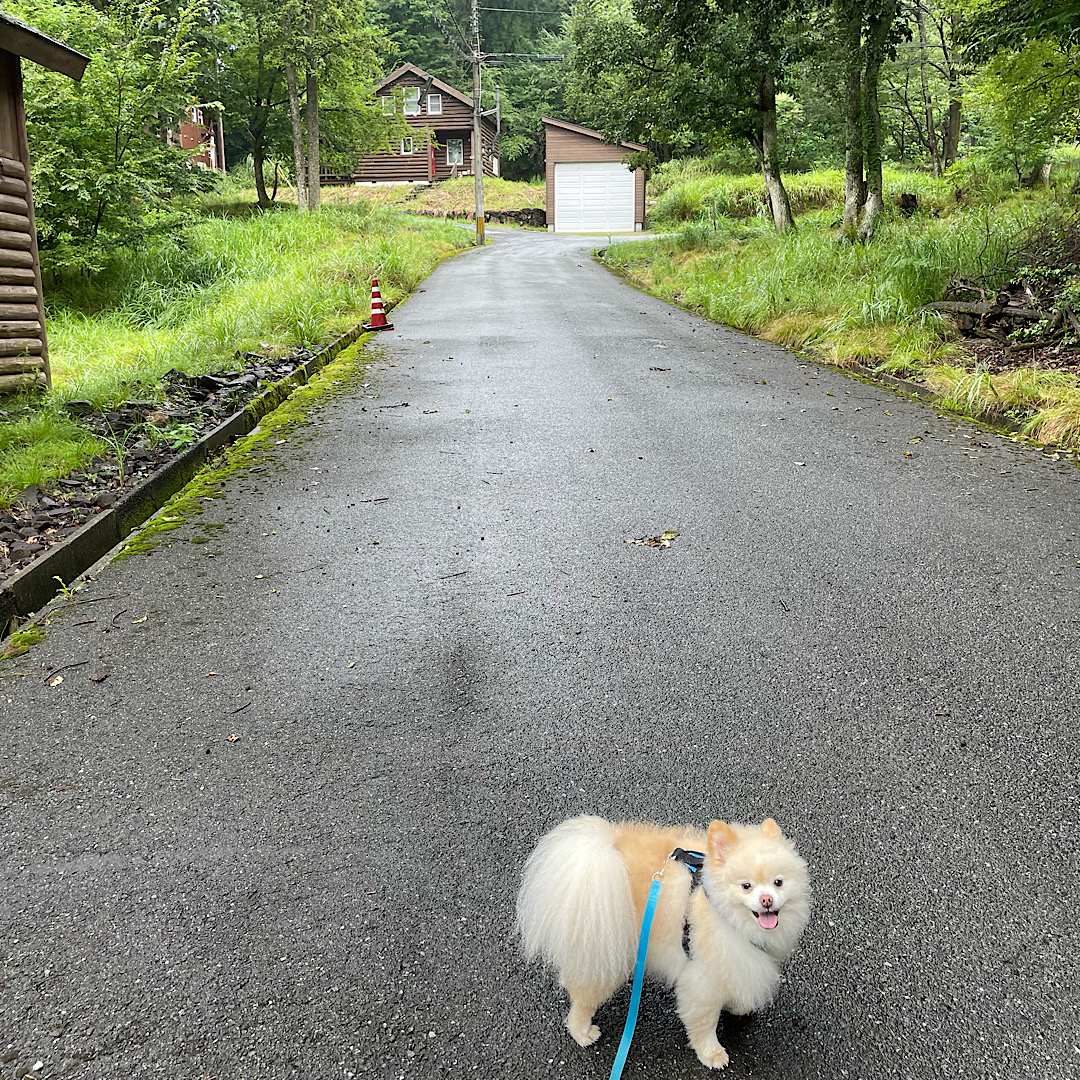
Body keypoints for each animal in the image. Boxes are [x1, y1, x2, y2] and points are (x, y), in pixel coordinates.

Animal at [514, 812, 812, 1067]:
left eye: (778, 882)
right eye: (746, 886)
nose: (767, 900)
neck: (722, 911)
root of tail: (597, 855)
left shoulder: (738, 961)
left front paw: (739, 1009)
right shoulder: (702, 977)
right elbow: (704, 1022)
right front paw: (712, 1053)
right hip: (607, 948)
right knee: (583, 999)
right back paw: (582, 1032)